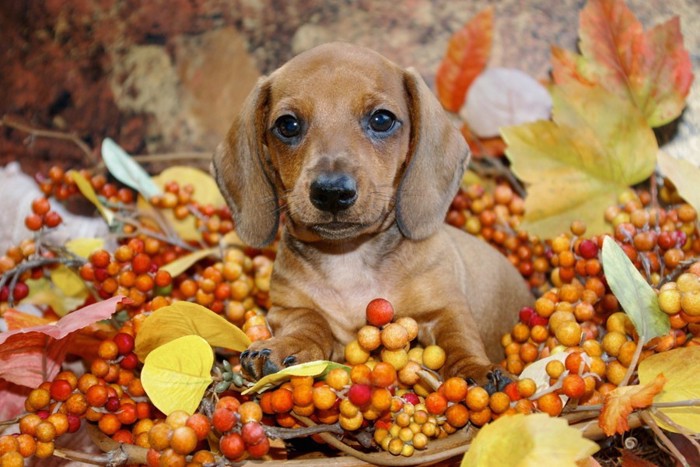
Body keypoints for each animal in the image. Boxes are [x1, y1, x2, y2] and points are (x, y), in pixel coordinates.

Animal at [212, 43, 532, 388]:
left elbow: (458, 338)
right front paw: (287, 344)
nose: (332, 192)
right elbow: (308, 319)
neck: (349, 256)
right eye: (288, 125)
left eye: (381, 119)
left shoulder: (445, 308)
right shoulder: (286, 308)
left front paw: (474, 369)